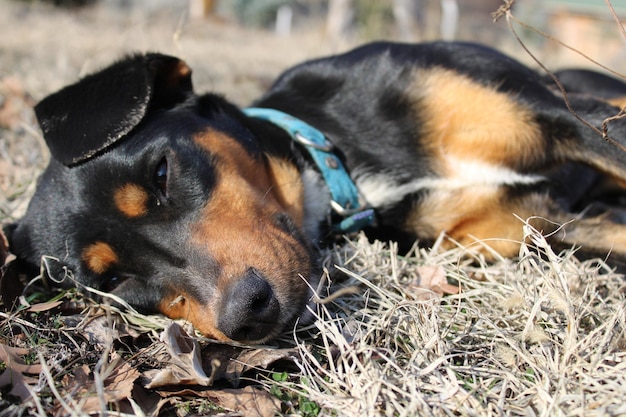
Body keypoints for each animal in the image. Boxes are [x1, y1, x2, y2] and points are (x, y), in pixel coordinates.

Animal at [6, 40, 626, 342]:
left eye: (160, 174)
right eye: (116, 283)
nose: (247, 316)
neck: (340, 161)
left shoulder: (565, 120)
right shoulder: (539, 226)